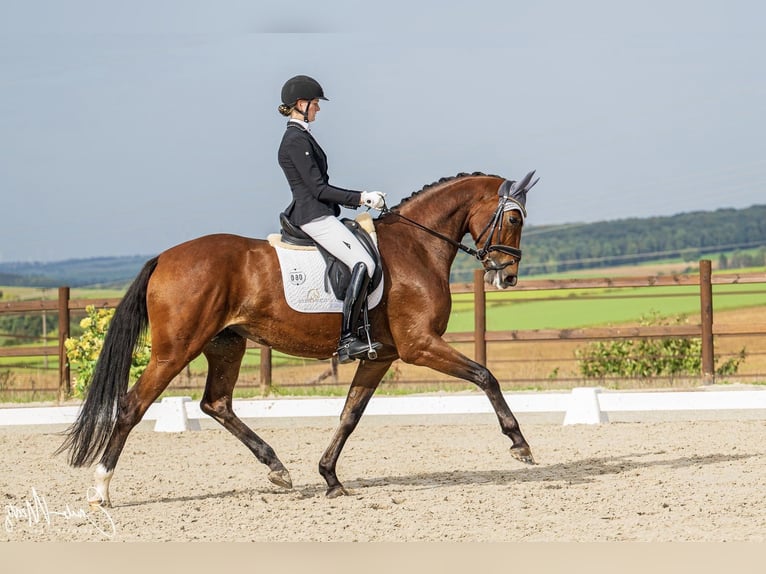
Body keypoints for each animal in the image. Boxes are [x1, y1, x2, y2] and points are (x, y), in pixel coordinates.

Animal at [57, 170, 540, 504]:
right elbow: (485, 375)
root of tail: (163, 258)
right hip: (175, 350)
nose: (507, 276)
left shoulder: (381, 355)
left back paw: (277, 468)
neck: (417, 246)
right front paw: (520, 445)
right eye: (514, 218)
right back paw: (100, 490)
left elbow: (349, 415)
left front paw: (329, 477)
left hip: (227, 344)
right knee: (131, 406)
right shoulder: (419, 345)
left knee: (216, 403)